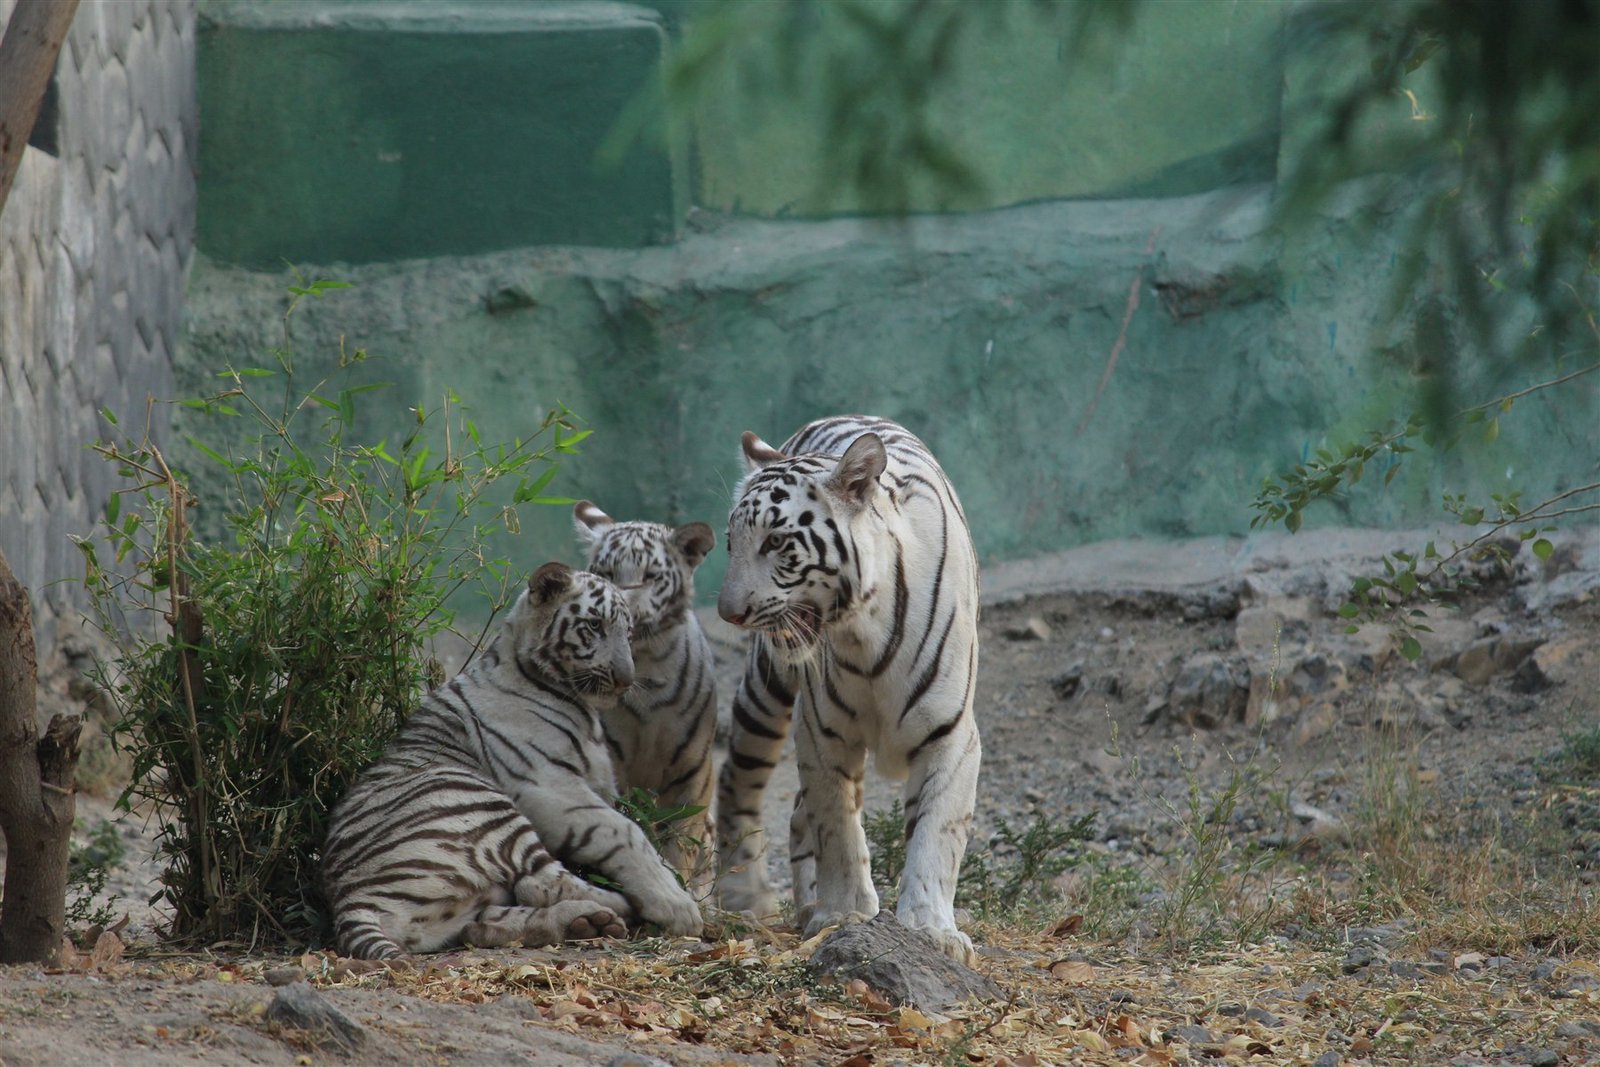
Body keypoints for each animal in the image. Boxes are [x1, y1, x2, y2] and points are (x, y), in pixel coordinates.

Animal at [322, 562, 702, 960]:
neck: (580, 706)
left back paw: (588, 921)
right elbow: (627, 831)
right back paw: (624, 907)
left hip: (456, 906)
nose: (625, 680)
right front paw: (676, 904)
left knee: (489, 920)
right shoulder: (550, 786)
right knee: (542, 882)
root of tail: (350, 900)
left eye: (627, 633)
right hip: (478, 803)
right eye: (595, 625)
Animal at [574, 501, 718, 899]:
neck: (646, 670)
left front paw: (680, 884)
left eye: (650, 576)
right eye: (606, 572)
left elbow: (681, 841)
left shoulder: (693, 770)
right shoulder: (614, 766)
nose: (623, 612)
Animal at [714, 415, 982, 963]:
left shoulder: (951, 734)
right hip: (766, 690)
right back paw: (746, 893)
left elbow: (936, 834)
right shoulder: (822, 733)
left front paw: (932, 929)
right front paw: (844, 914)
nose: (729, 613)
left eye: (776, 542)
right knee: (739, 776)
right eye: (731, 542)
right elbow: (836, 826)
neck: (863, 632)